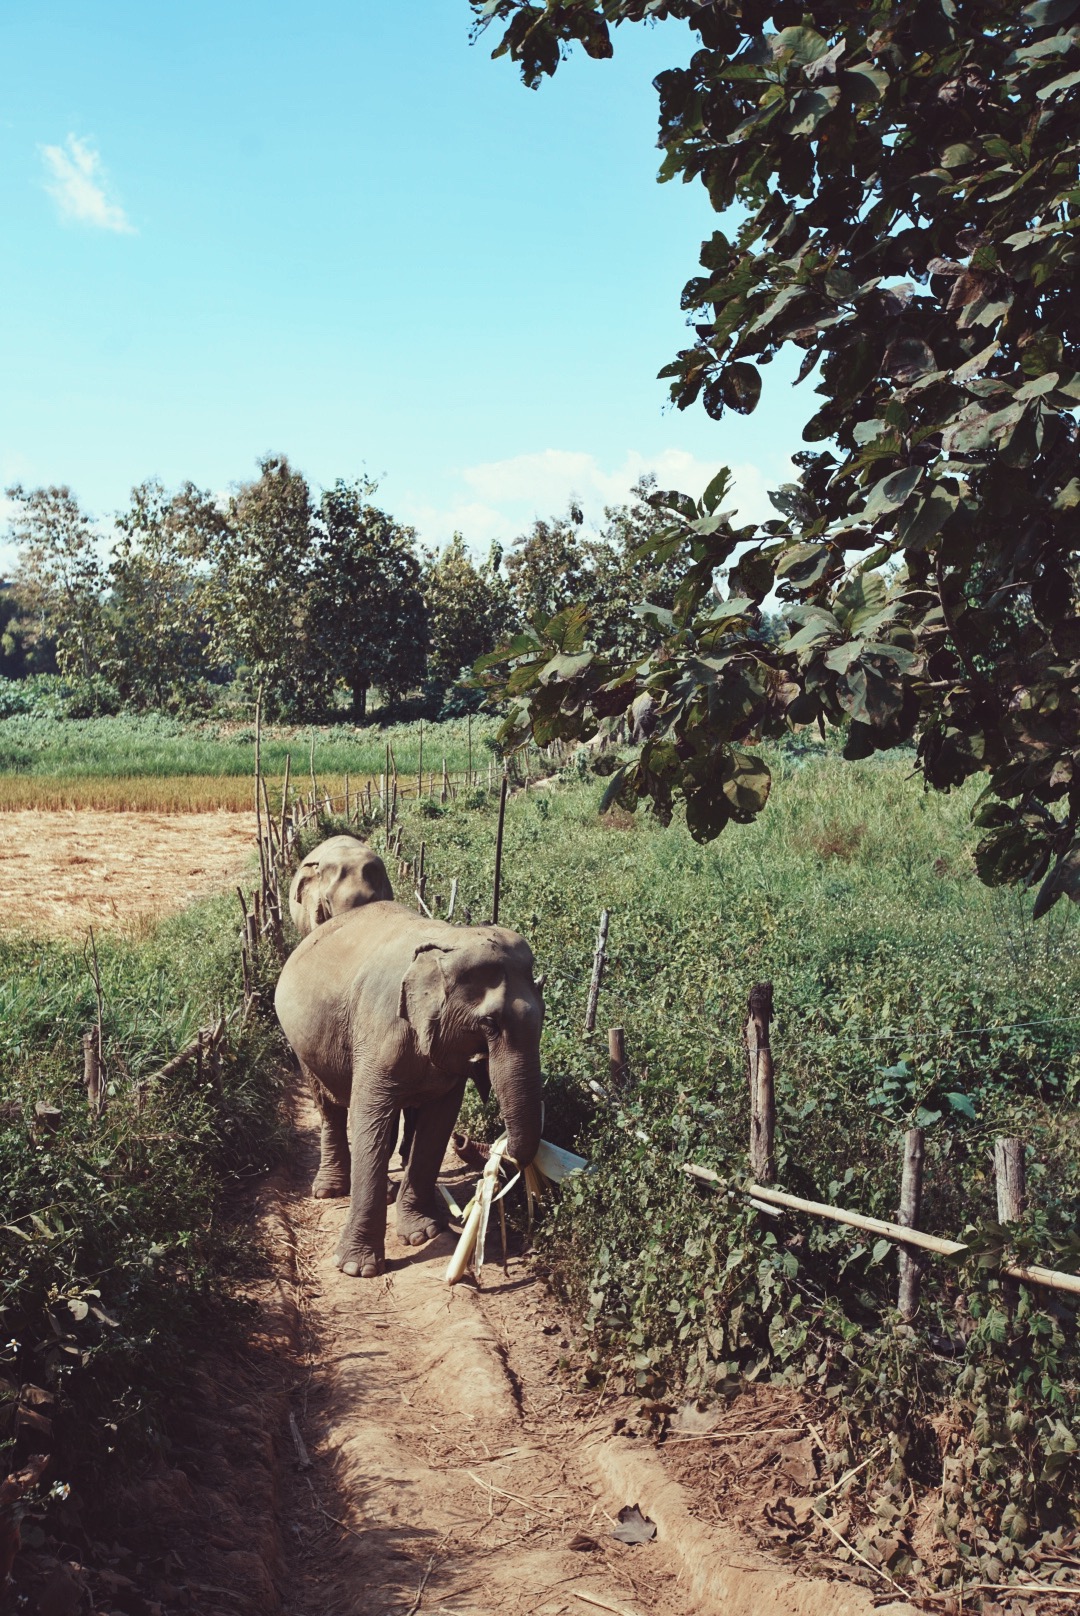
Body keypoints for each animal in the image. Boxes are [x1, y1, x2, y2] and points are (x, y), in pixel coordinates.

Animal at [270, 898, 540, 1273]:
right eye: (489, 1023)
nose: (466, 1140)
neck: (449, 941)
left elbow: (437, 1125)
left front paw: (422, 1234)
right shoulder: (379, 1031)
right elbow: (370, 1116)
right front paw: (358, 1269)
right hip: (301, 1042)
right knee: (330, 1106)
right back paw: (329, 1190)